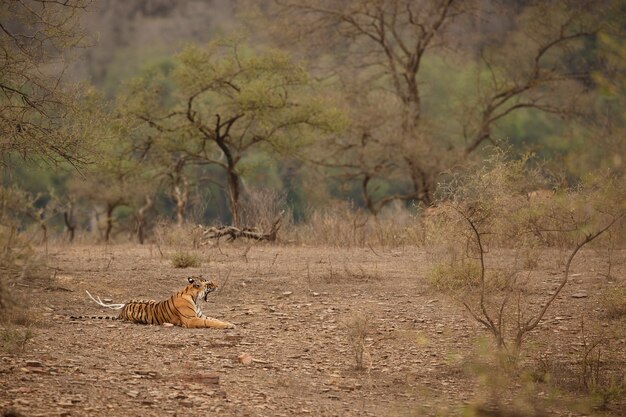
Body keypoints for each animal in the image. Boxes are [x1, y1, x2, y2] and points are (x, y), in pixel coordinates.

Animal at [73, 276, 234, 328]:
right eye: (209, 284)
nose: (217, 285)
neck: (194, 297)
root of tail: (123, 309)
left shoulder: (200, 315)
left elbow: (214, 319)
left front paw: (229, 323)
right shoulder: (191, 320)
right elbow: (210, 322)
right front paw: (228, 326)